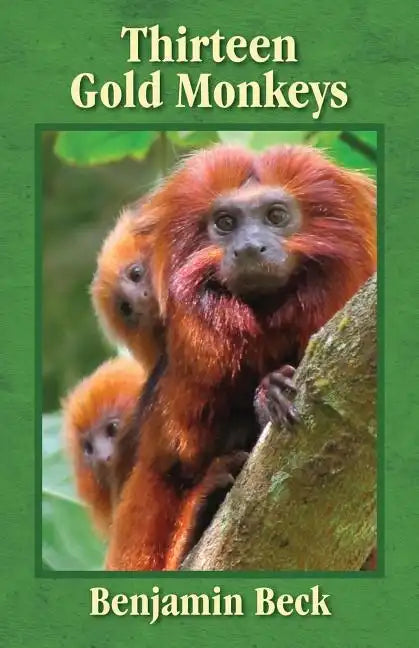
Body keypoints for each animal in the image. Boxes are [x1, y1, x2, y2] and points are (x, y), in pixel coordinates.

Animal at [106, 144, 376, 570]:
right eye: (226, 222)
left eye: (276, 216)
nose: (249, 247)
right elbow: (163, 468)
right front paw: (268, 396)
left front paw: (269, 394)